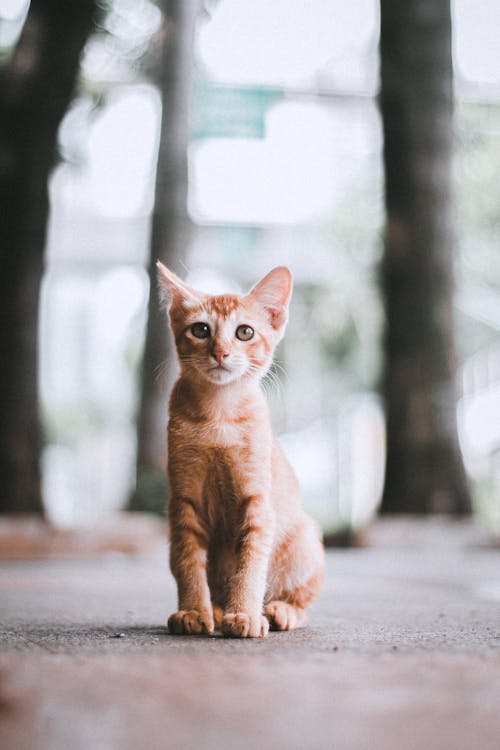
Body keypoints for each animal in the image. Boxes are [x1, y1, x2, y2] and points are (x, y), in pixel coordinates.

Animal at [158, 262, 326, 636]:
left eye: (245, 332)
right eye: (201, 330)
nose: (220, 352)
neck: (218, 415)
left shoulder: (257, 503)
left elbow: (250, 565)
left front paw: (245, 614)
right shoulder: (183, 501)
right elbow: (188, 561)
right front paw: (193, 610)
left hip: (305, 541)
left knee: (303, 601)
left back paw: (279, 610)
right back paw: (217, 609)